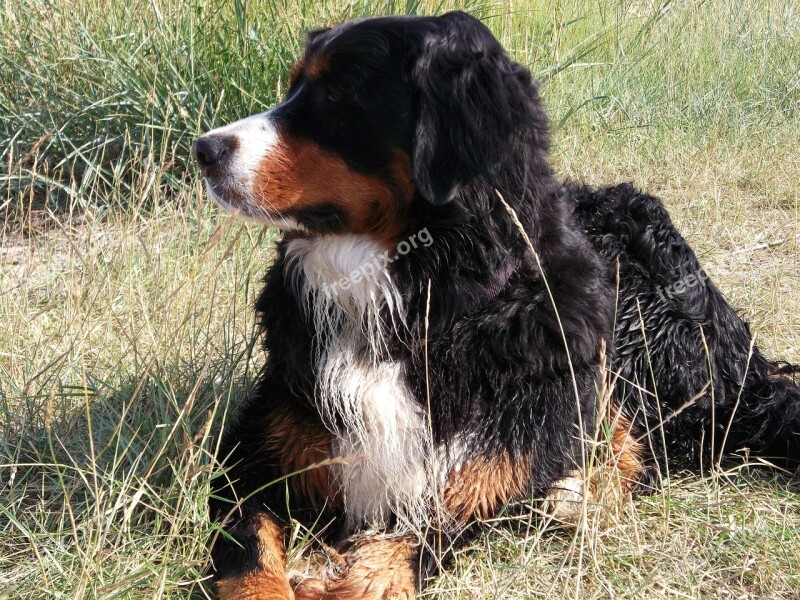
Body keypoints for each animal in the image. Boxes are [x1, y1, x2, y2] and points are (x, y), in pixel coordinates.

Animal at [194, 10, 800, 600]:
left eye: (338, 94)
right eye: (295, 87)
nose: (204, 149)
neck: (412, 299)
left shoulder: (492, 463)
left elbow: (421, 536)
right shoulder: (254, 452)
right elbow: (251, 548)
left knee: (640, 446)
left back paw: (578, 493)